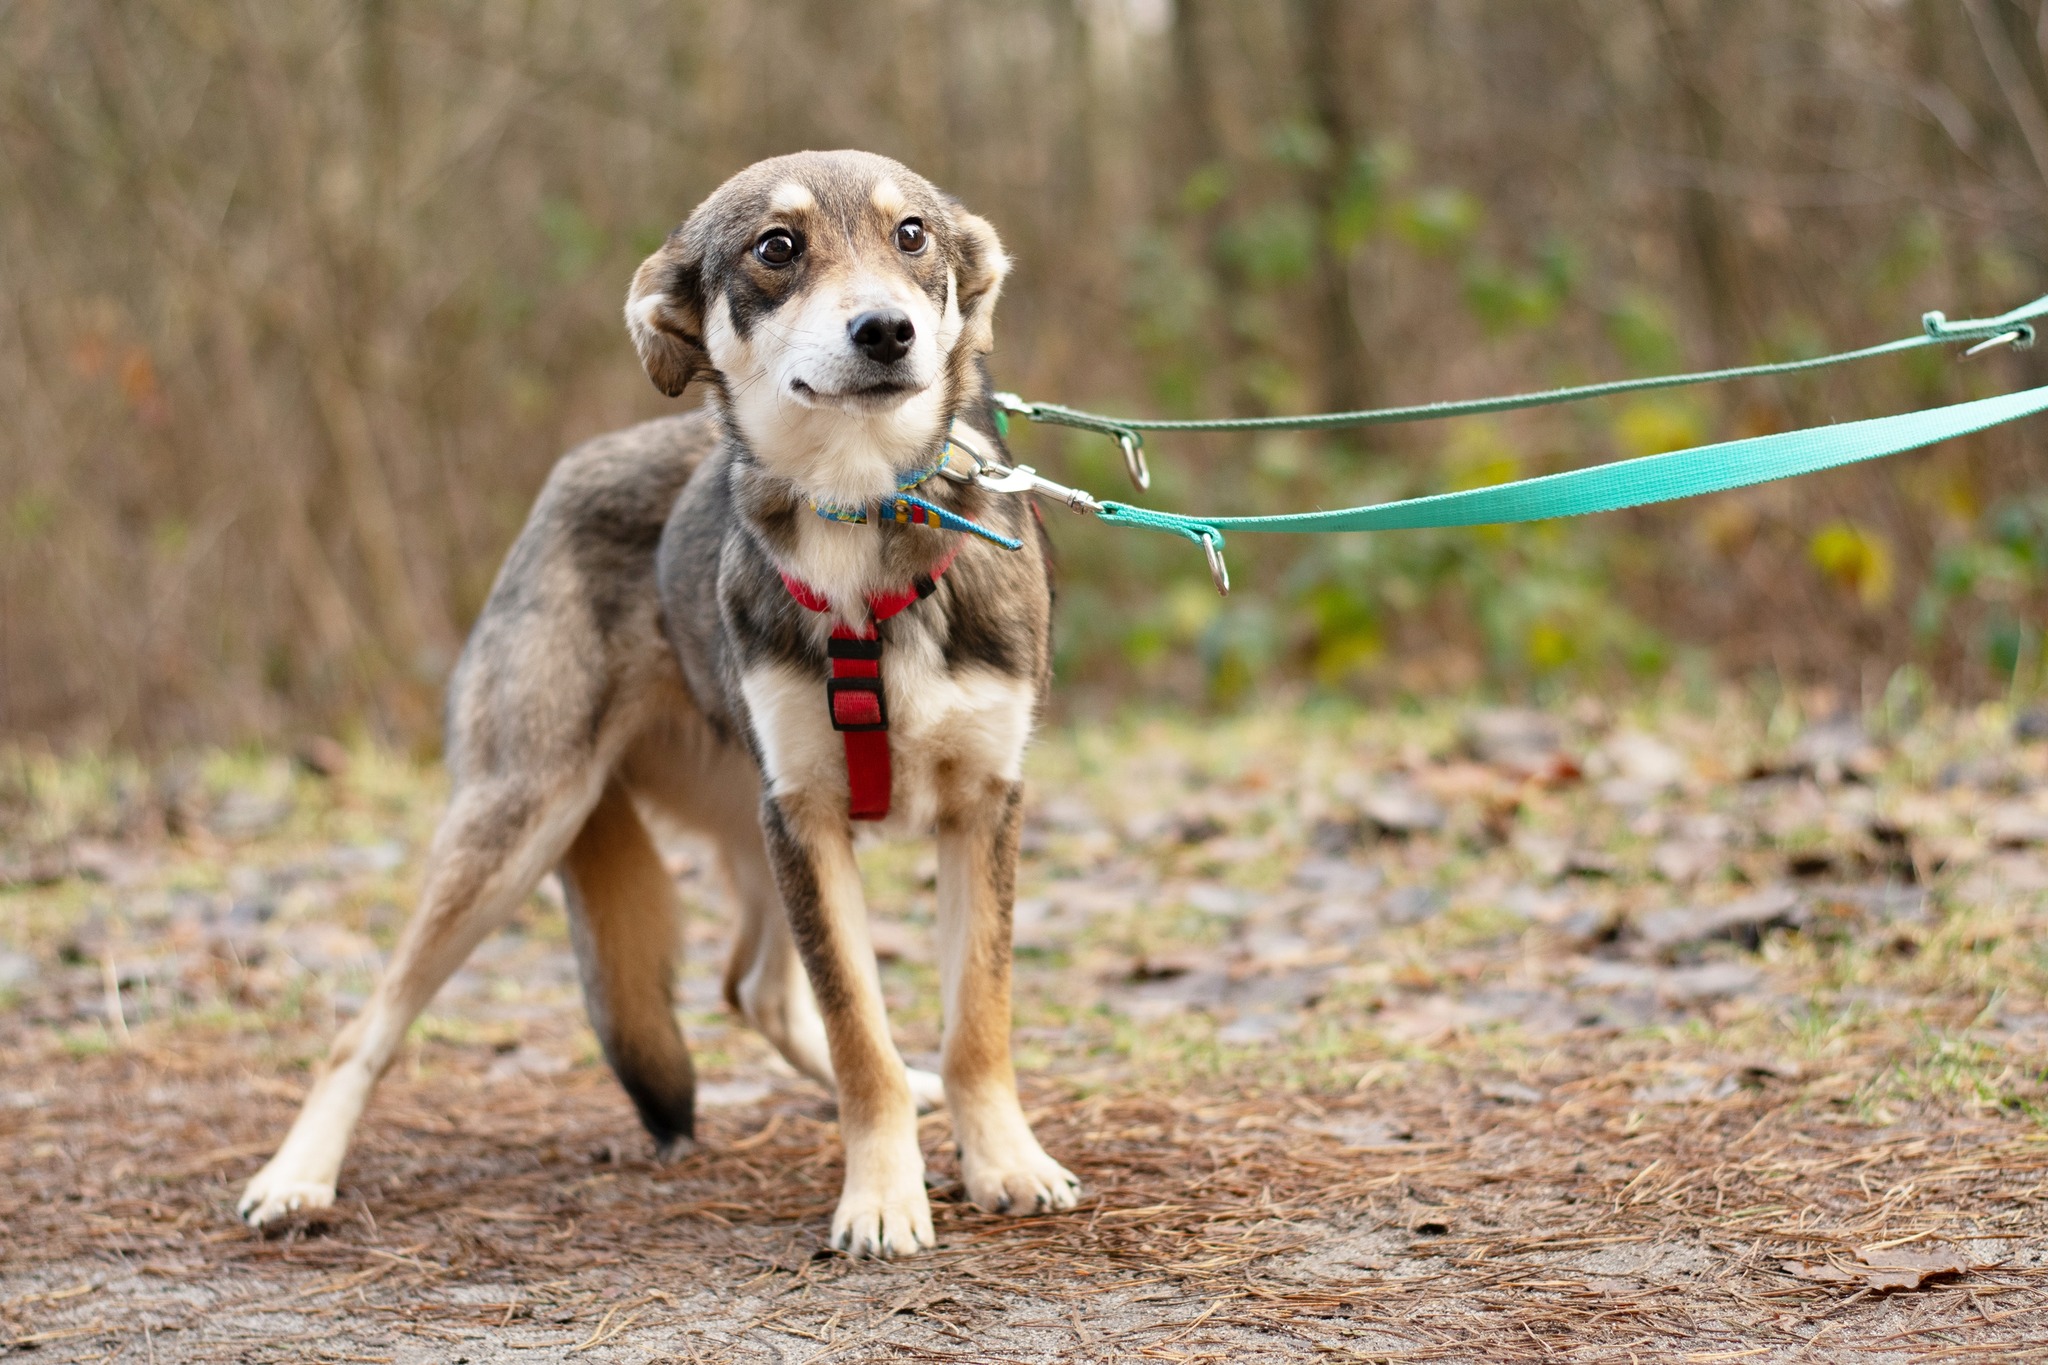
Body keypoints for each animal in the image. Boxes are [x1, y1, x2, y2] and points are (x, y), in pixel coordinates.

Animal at [239, 149, 1081, 1260]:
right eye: (777, 248)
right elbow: (859, 1032)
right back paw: (295, 1178)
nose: (885, 331)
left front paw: (1004, 1163)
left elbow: (975, 1019)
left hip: (741, 825)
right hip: (528, 820)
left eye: (912, 236)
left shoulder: (979, 804)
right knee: (364, 1025)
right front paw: (880, 1196)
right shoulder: (806, 816)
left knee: (754, 988)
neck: (862, 521)